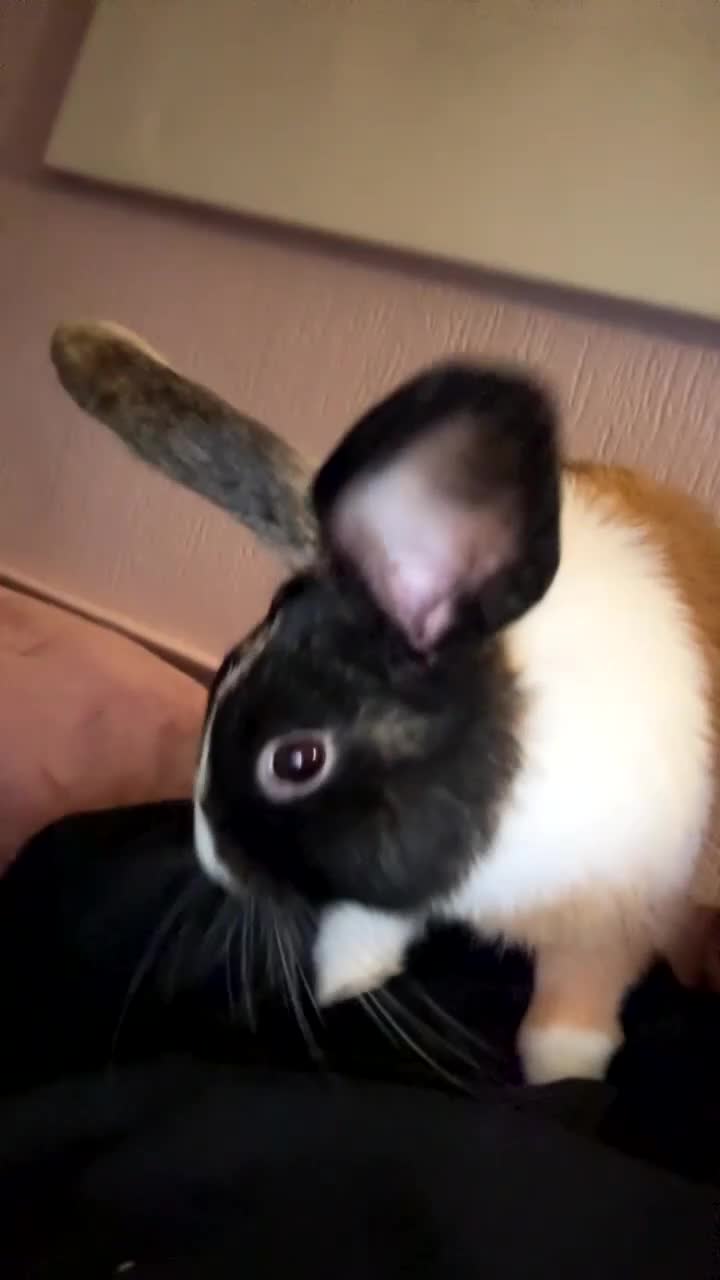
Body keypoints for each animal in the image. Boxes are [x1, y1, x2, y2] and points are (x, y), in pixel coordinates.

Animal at [51, 320, 720, 1085]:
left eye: (297, 761)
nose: (216, 864)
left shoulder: (616, 917)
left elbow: (578, 995)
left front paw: (563, 1073)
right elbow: (374, 914)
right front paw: (347, 974)